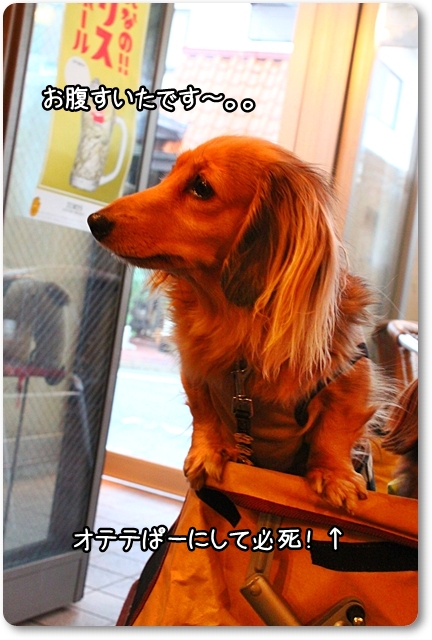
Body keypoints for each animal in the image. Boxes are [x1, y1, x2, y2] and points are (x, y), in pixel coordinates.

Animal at [88, 135, 383, 513]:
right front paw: (208, 453)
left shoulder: (350, 379)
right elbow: (204, 414)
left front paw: (335, 476)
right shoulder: (195, 372)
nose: (94, 220)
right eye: (170, 174)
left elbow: (334, 432)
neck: (235, 322)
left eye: (201, 187)